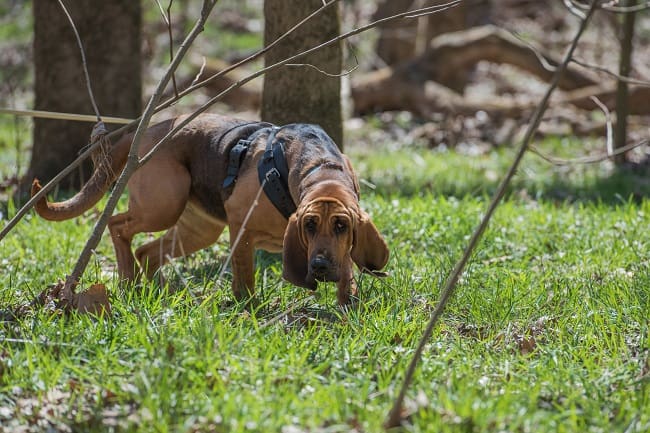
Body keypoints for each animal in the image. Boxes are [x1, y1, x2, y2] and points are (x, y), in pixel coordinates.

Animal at [31, 113, 384, 306]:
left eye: (341, 227)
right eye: (309, 226)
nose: (320, 266)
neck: (320, 167)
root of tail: (149, 130)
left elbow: (347, 274)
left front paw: (347, 305)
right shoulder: (241, 230)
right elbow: (245, 278)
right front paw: (248, 308)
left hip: (199, 229)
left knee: (148, 251)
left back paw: (154, 289)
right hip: (163, 206)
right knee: (117, 225)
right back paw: (129, 279)